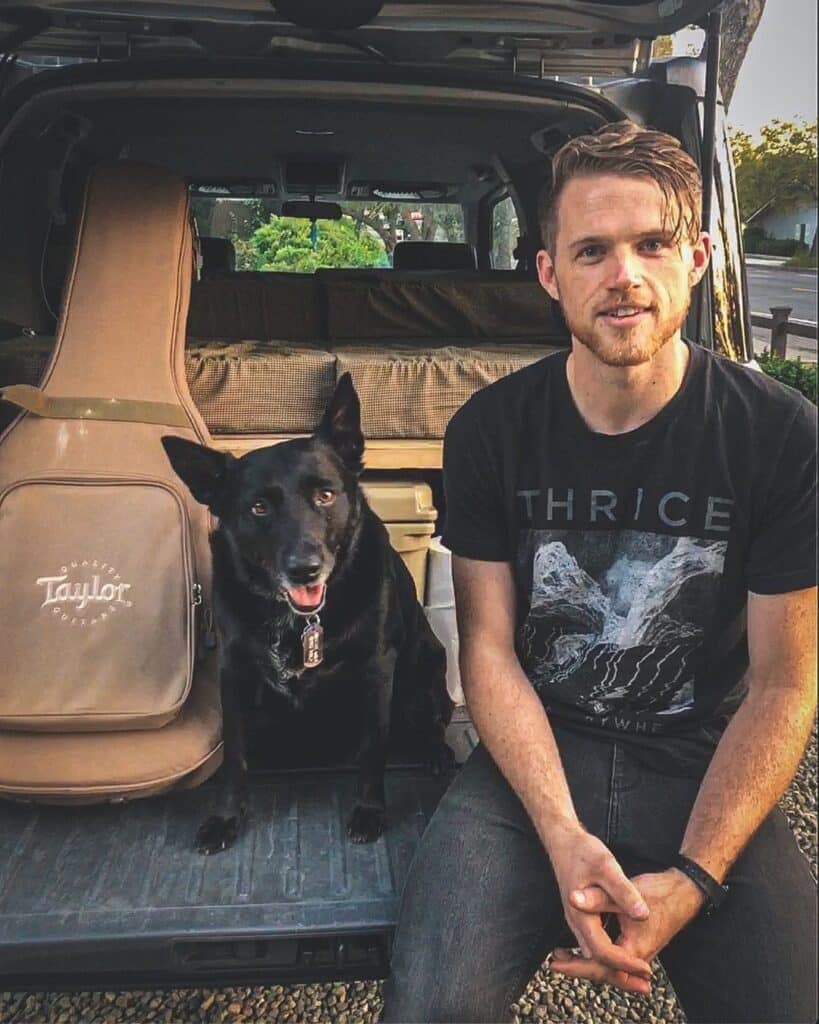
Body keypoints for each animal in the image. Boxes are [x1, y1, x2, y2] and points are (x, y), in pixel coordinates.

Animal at [162, 372, 450, 851]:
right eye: (259, 506)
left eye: (326, 495)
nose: (305, 569)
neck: (297, 621)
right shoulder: (234, 674)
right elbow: (234, 757)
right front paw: (225, 817)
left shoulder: (377, 670)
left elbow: (373, 750)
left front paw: (369, 810)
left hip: (422, 679)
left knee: (432, 727)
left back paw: (440, 755)